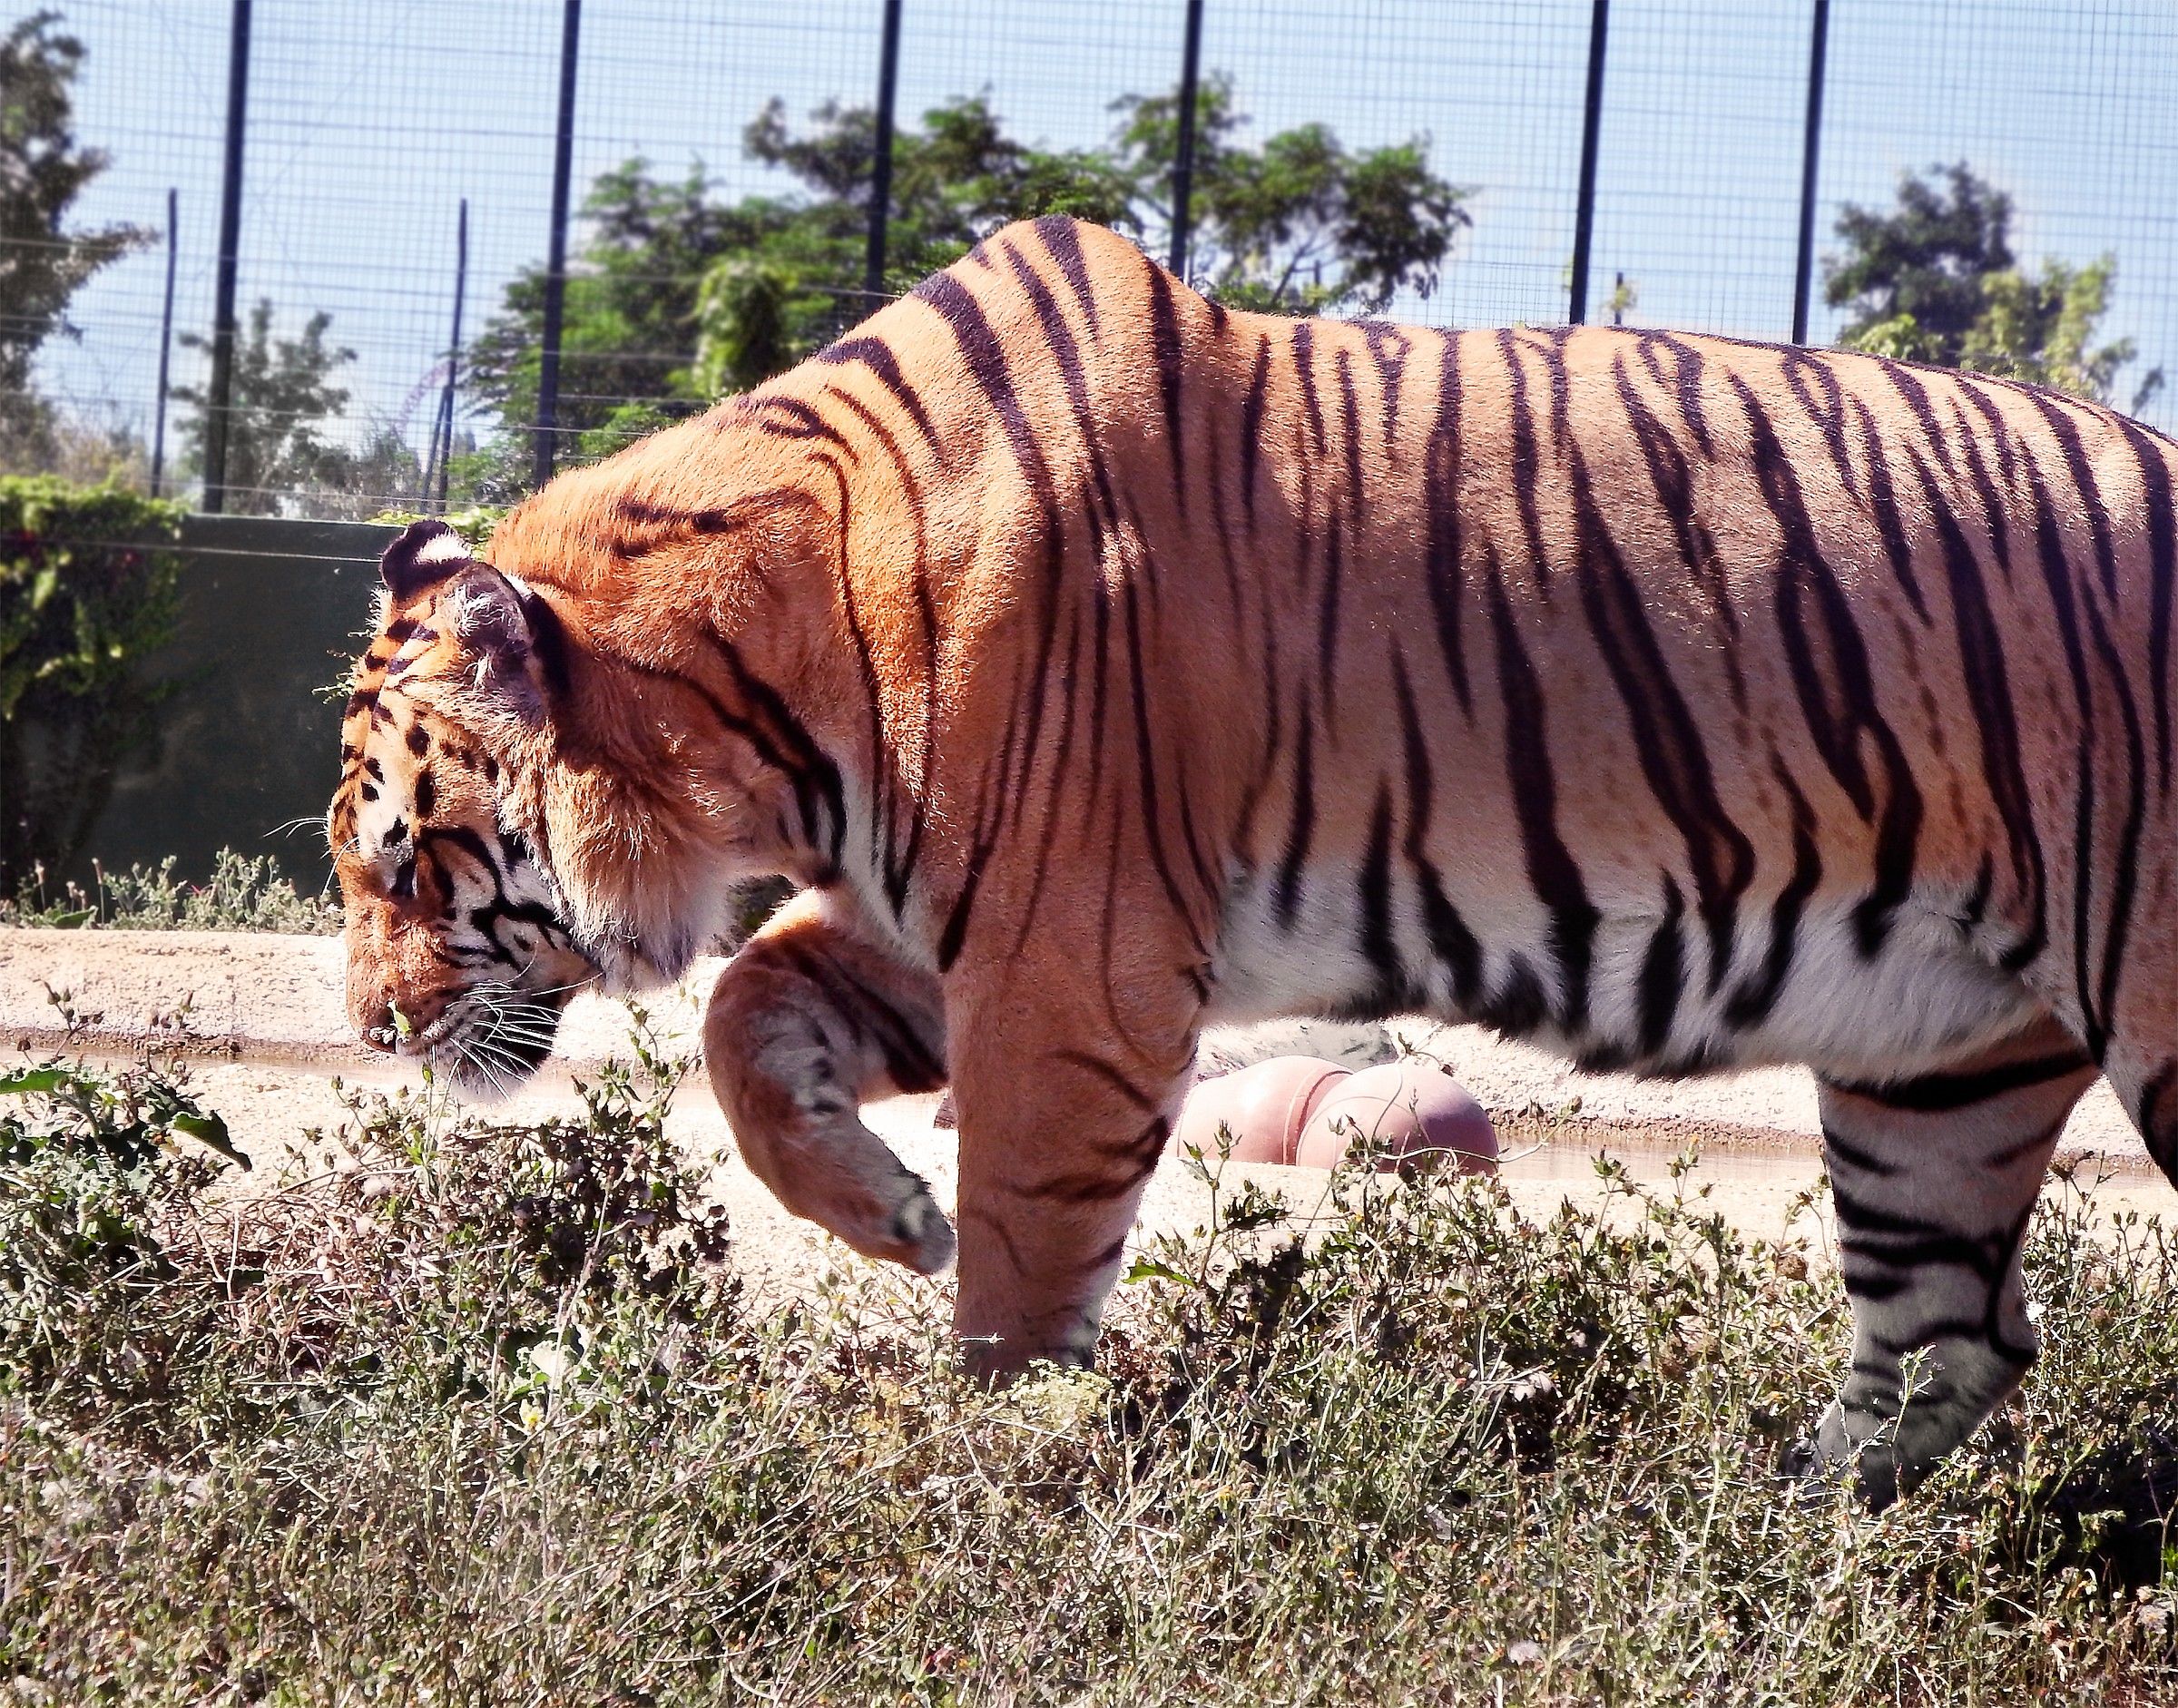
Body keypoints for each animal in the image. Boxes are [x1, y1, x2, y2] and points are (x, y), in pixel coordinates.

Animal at [332, 213, 2178, 1507]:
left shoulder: (1074, 970)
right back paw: (1761, 1540)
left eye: (404, 864)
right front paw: (890, 1215)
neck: (764, 693)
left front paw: (998, 1466)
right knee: (1954, 1339)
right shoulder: (960, 932)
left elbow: (1022, 1268)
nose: (372, 1029)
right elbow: (746, 1020)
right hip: (1938, 1065)